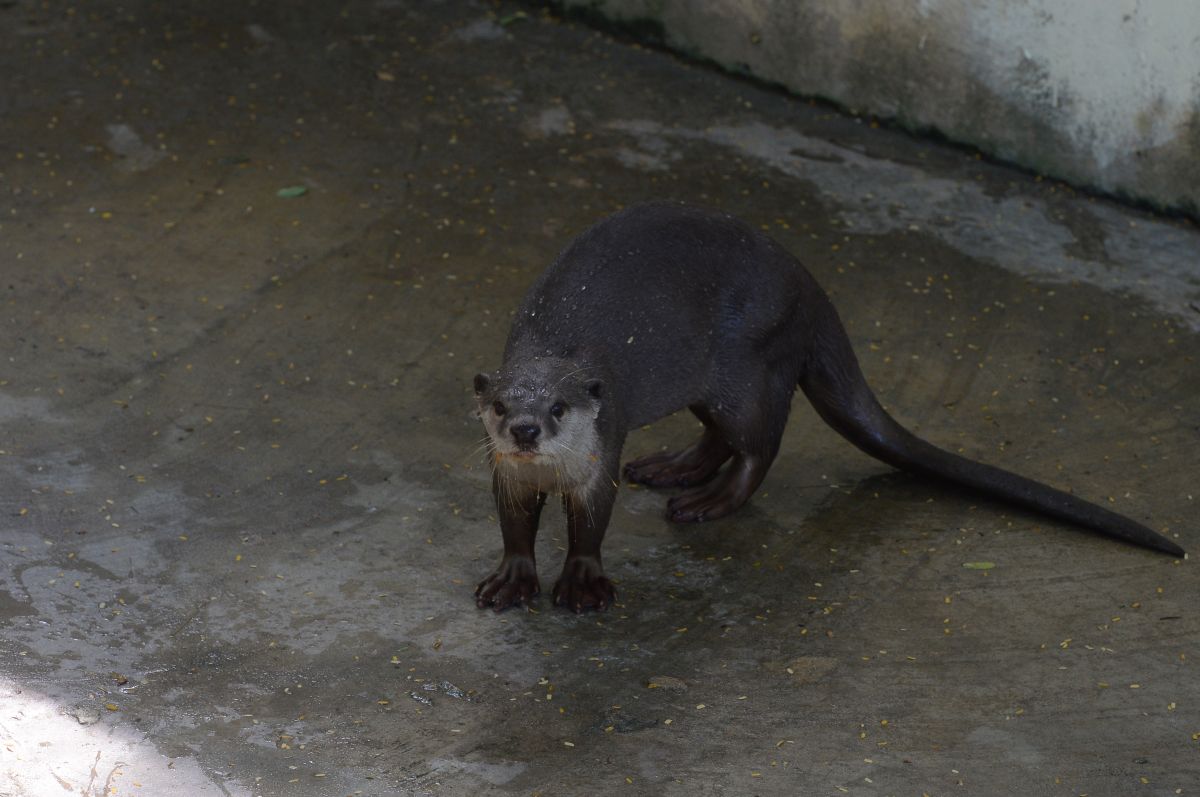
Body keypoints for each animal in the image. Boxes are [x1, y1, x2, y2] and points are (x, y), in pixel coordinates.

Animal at [472, 202, 1184, 613]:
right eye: (503, 405)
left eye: (560, 407)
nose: (527, 429)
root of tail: (810, 287)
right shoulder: (507, 475)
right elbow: (514, 525)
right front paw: (510, 579)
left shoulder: (601, 449)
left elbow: (591, 524)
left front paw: (584, 582)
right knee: (720, 436)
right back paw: (671, 469)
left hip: (750, 364)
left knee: (758, 444)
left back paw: (706, 502)